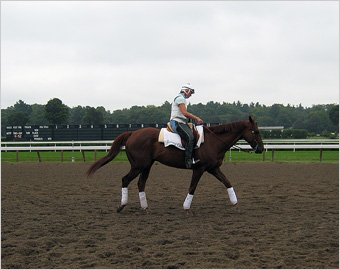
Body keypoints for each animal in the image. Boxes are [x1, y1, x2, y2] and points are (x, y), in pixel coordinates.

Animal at [86, 115, 264, 212]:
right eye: (256, 131)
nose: (261, 149)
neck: (213, 141)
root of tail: (133, 133)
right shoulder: (199, 169)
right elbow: (192, 188)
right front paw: (186, 207)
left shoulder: (213, 168)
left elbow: (227, 183)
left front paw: (235, 203)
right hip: (138, 166)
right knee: (125, 179)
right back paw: (122, 205)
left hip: (146, 166)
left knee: (141, 184)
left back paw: (145, 207)